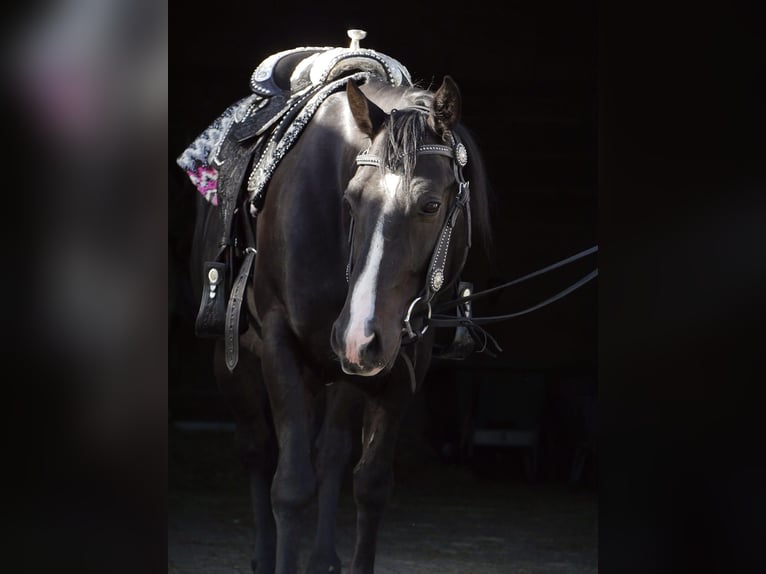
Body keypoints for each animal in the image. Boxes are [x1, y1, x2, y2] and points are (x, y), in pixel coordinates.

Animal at [189, 72, 492, 574]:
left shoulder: (402, 361)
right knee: (257, 448)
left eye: (431, 205)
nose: (358, 337)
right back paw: (263, 555)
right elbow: (290, 487)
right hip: (236, 360)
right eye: (351, 200)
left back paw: (323, 556)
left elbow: (369, 485)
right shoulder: (280, 346)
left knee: (330, 452)